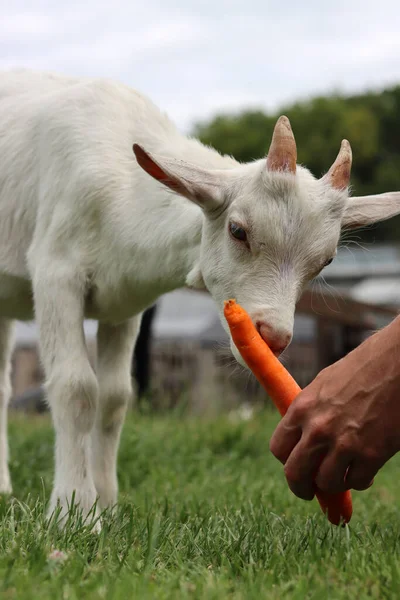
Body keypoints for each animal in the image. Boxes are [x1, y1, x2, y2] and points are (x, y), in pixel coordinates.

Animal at [0, 68, 400, 524]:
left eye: (326, 260)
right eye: (238, 230)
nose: (273, 338)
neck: (123, 188)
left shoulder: (122, 306)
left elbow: (115, 397)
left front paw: (107, 506)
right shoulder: (56, 273)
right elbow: (76, 388)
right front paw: (74, 513)